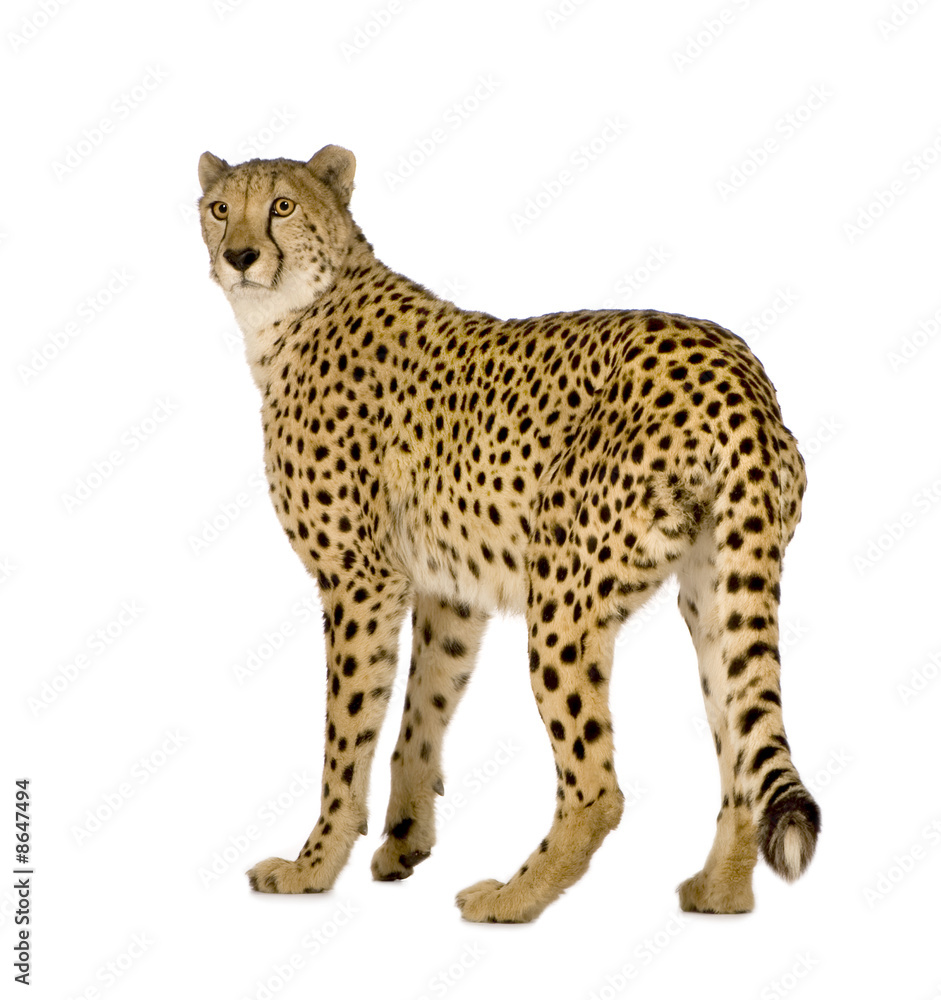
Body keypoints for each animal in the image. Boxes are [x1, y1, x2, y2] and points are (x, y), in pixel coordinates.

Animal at [197, 143, 820, 922]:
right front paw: (403, 843)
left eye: (282, 206)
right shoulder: (445, 592)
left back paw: (513, 896)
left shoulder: (359, 580)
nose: (240, 255)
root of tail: (734, 366)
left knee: (597, 787)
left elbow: (346, 737)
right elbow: (421, 714)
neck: (294, 311)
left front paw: (312, 868)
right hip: (714, 590)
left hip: (563, 590)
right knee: (738, 751)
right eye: (220, 208)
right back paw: (721, 893)